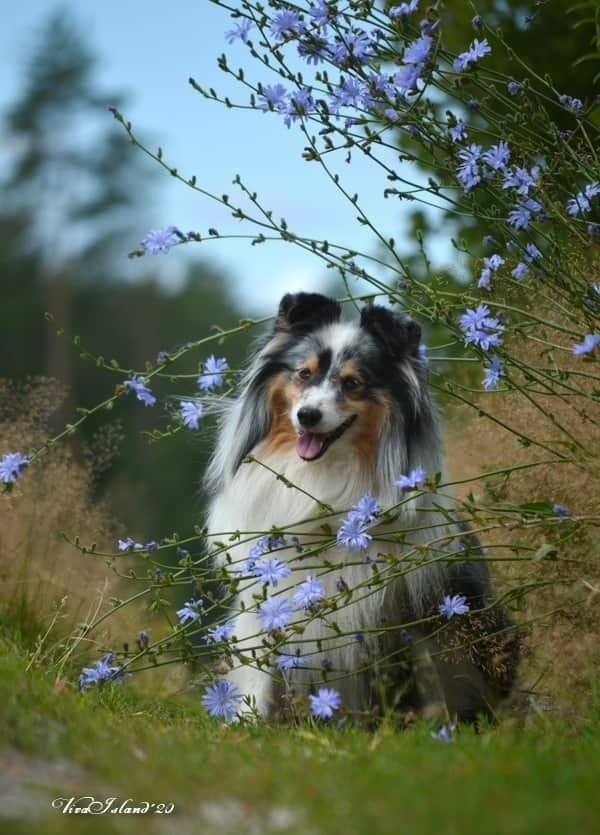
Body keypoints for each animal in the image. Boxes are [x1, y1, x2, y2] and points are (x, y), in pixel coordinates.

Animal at [205, 292, 516, 720]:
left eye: (353, 383)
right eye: (304, 374)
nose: (307, 416)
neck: (322, 475)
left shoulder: (402, 604)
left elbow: (426, 676)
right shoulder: (266, 601)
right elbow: (259, 679)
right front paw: (245, 725)